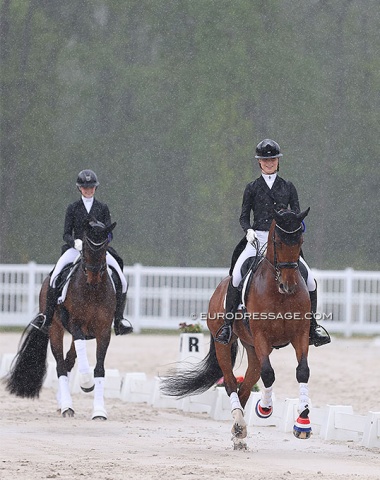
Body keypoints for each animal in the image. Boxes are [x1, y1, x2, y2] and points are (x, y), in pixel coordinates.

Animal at [5, 219, 117, 418]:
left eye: (105, 247)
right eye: (85, 246)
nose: (94, 278)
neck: (92, 291)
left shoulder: (103, 330)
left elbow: (99, 368)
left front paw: (99, 411)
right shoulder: (75, 325)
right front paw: (86, 383)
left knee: (69, 360)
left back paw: (62, 402)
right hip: (55, 328)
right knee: (60, 366)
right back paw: (66, 406)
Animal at [160, 208, 312, 448]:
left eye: (300, 241)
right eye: (278, 242)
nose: (288, 286)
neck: (279, 293)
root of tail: (220, 286)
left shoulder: (301, 335)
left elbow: (302, 371)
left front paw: (303, 422)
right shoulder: (261, 336)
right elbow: (269, 374)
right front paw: (265, 408)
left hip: (252, 348)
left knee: (246, 386)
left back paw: (238, 431)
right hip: (226, 344)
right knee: (232, 383)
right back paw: (239, 424)